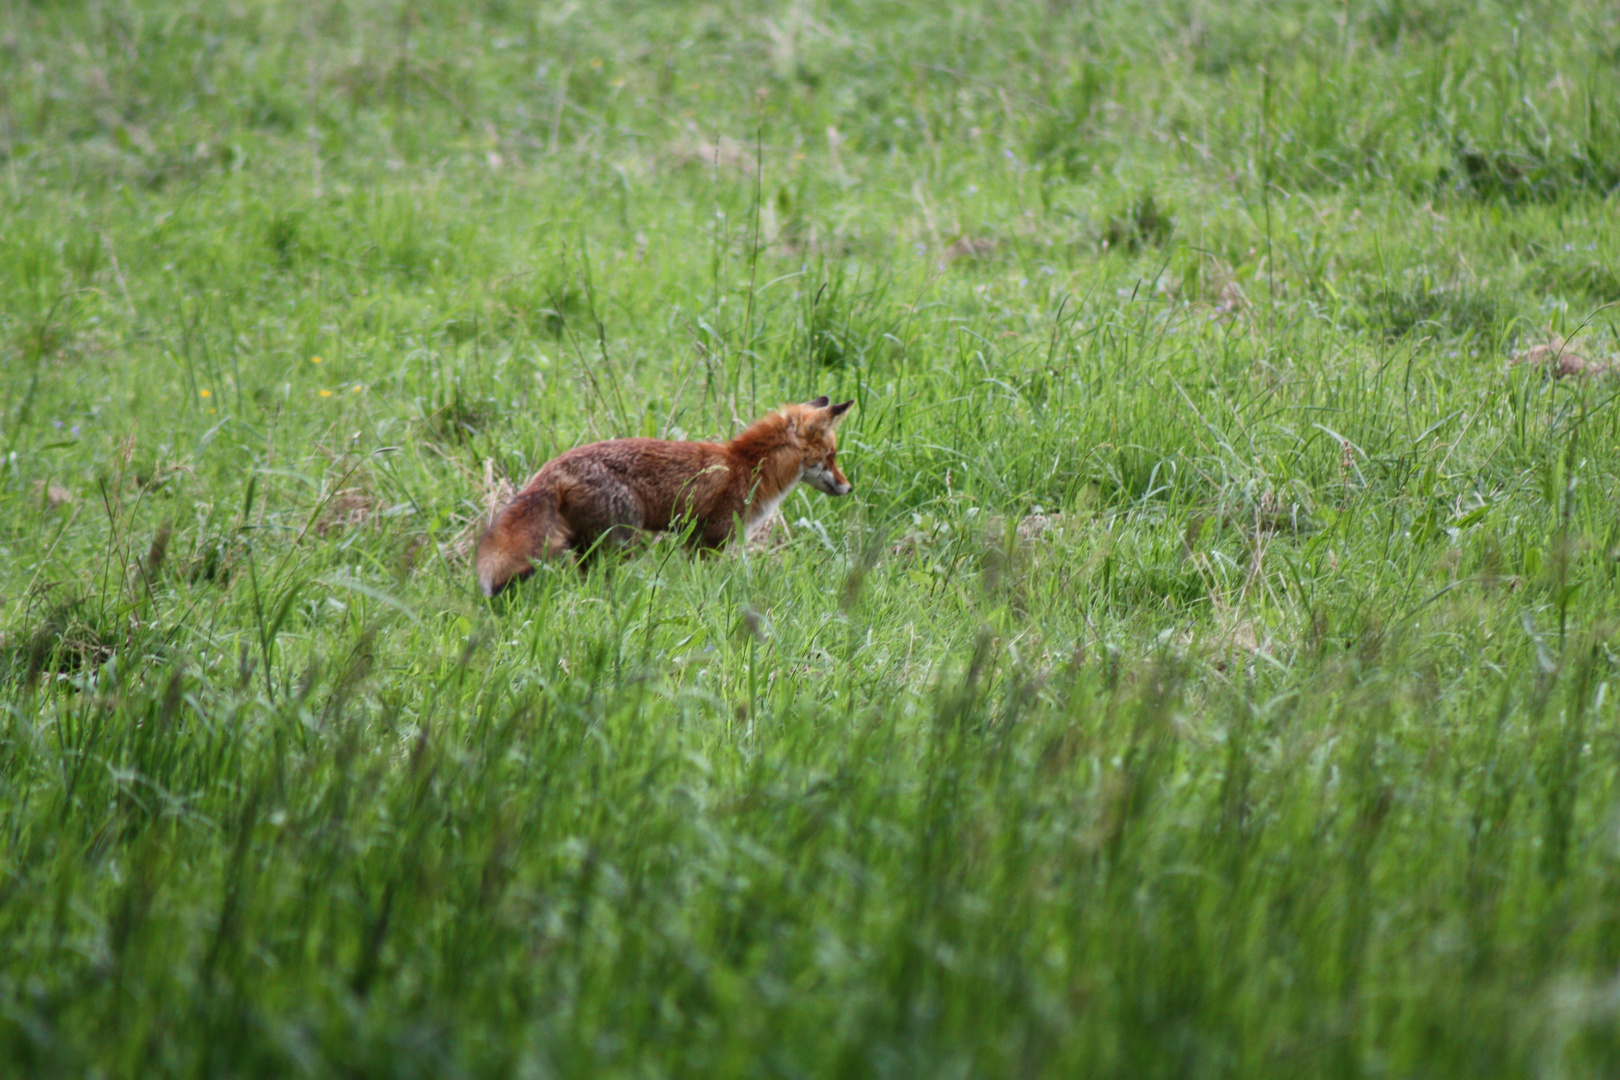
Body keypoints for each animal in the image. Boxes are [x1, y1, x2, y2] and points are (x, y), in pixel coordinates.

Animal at [476, 396, 861, 599]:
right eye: (831, 456)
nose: (848, 488)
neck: (747, 466)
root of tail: (554, 465)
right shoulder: (708, 541)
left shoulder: (694, 540)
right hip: (622, 543)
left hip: (590, 545)